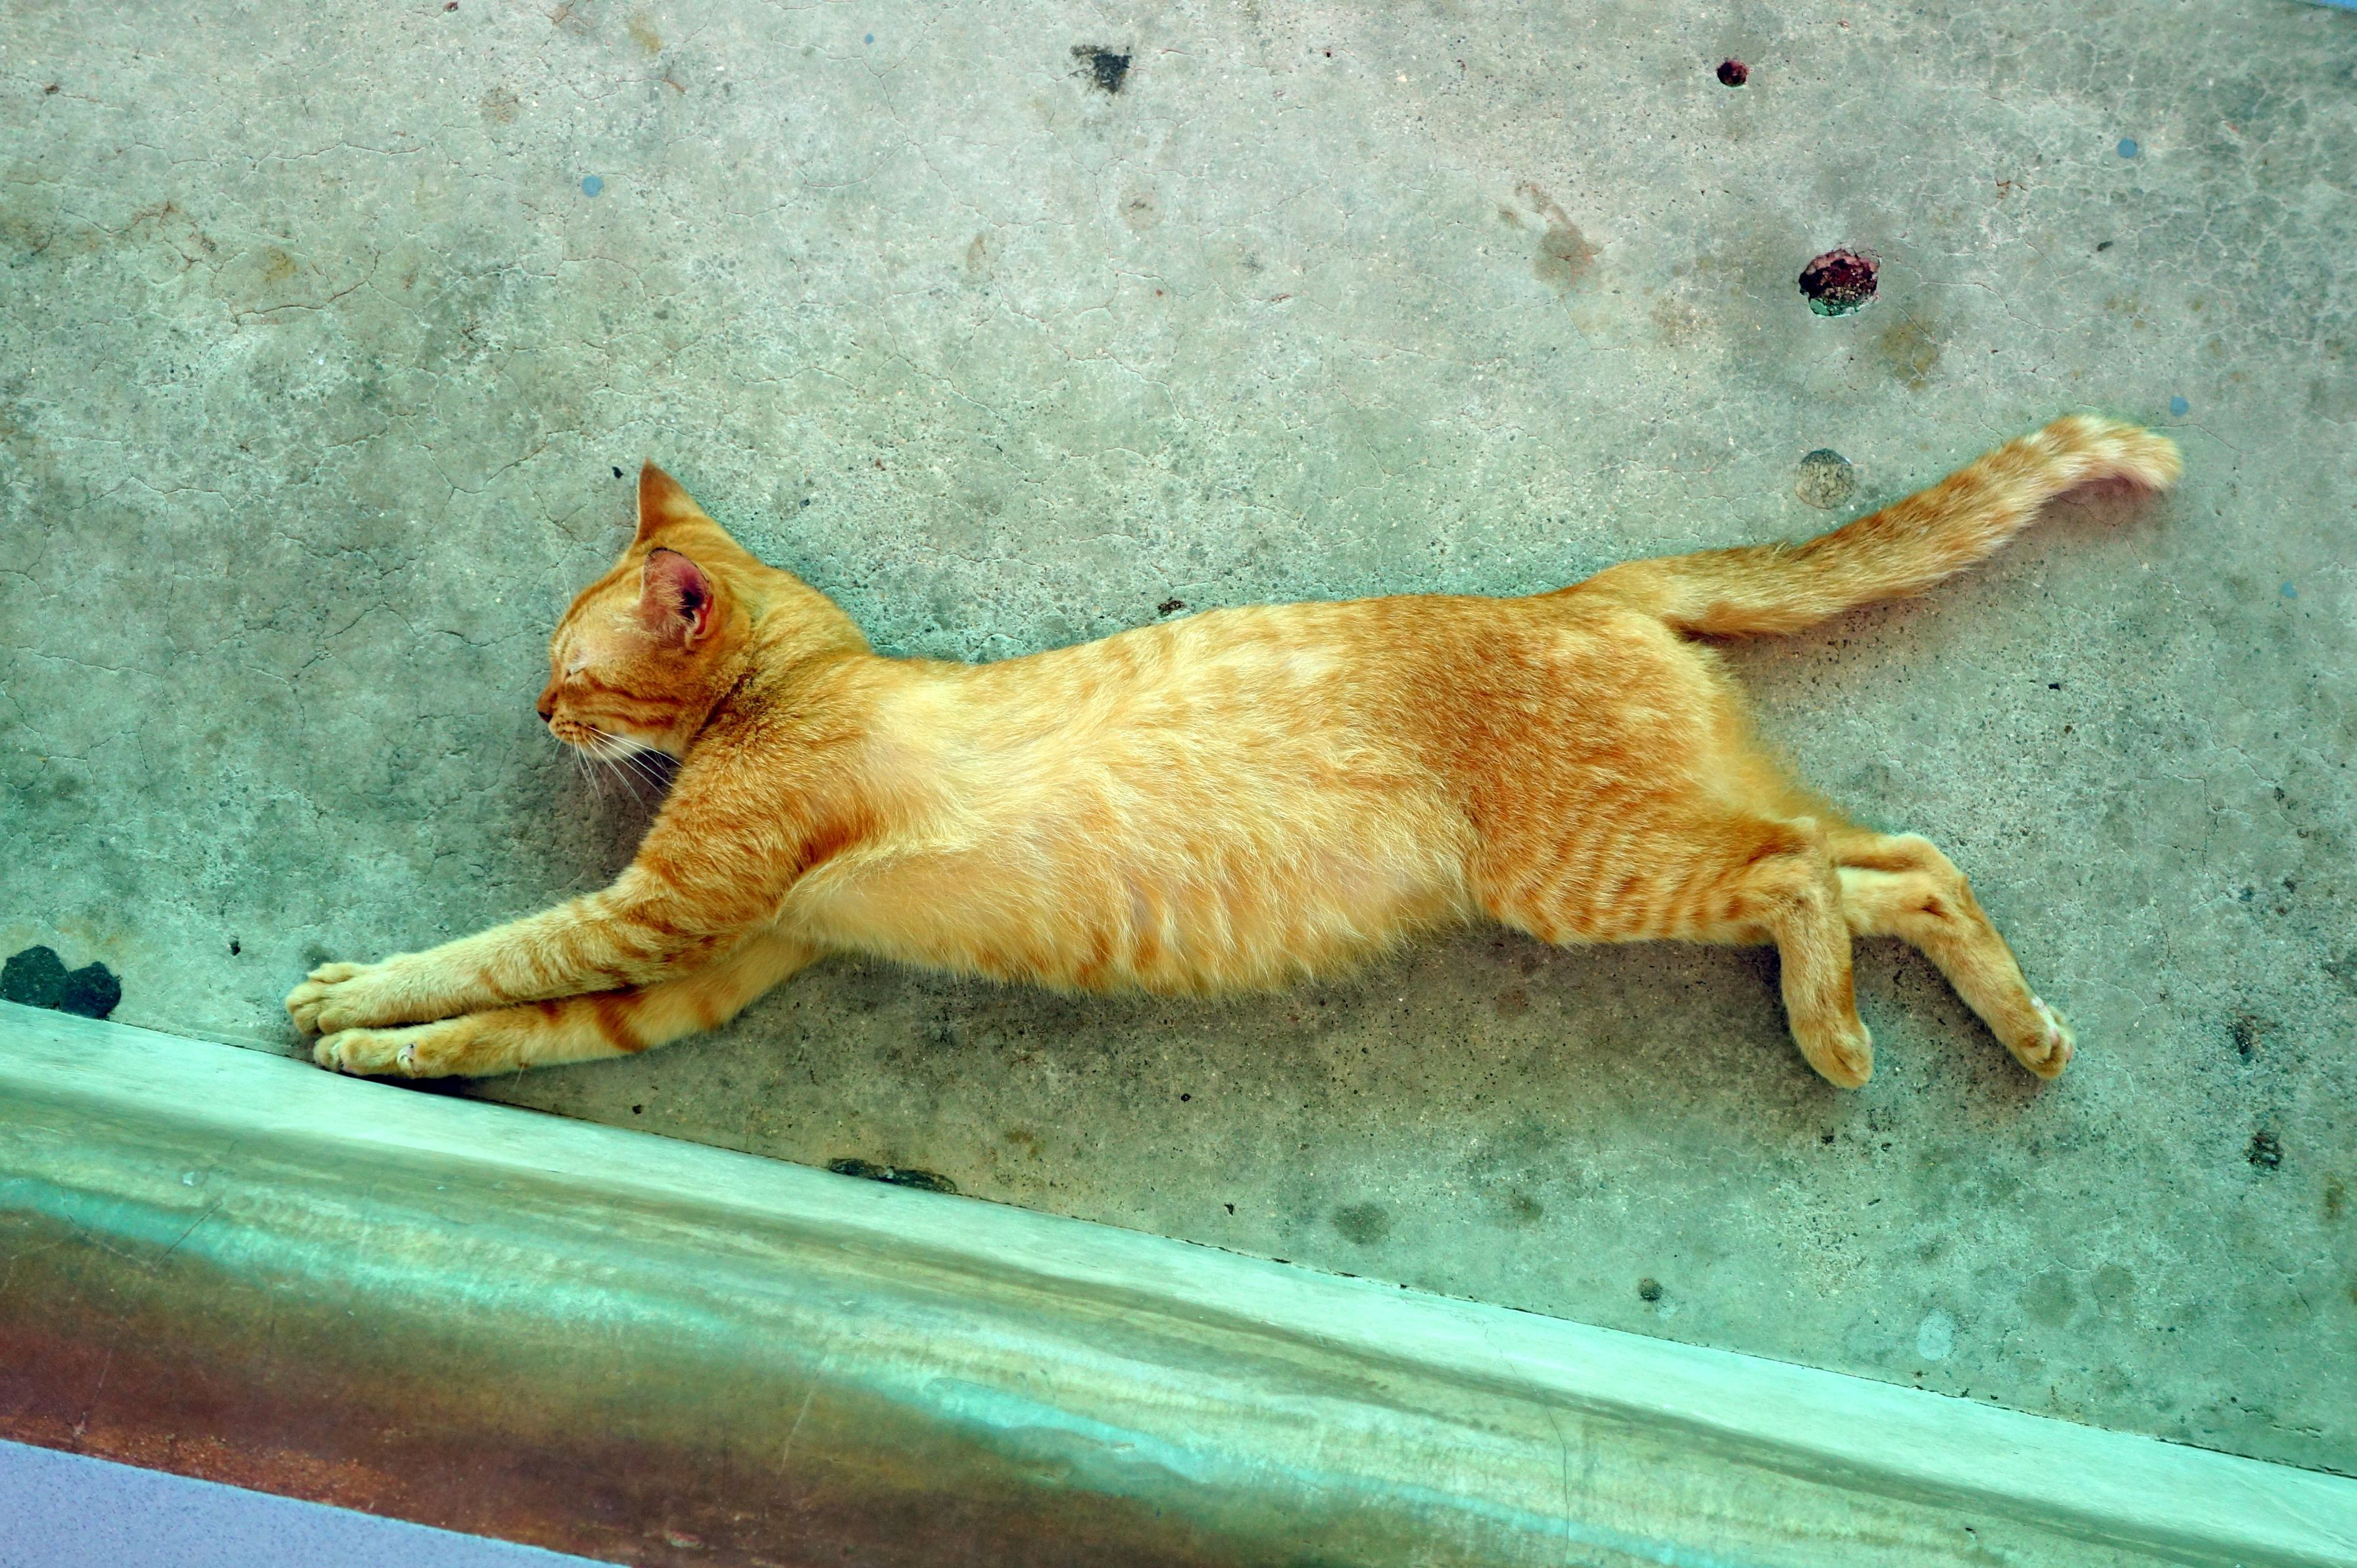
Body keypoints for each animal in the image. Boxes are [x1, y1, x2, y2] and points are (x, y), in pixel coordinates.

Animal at [288, 416, 2180, 1089]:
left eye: (568, 671)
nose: (535, 716)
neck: (811, 675)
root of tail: (1583, 593)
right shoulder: (720, 960)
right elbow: (525, 1024)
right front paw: (396, 1057)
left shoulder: (671, 907)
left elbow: (494, 951)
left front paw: (352, 993)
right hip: (1680, 836)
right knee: (1906, 863)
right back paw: (2020, 1033)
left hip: (1594, 873)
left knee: (1812, 877)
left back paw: (1832, 1037)